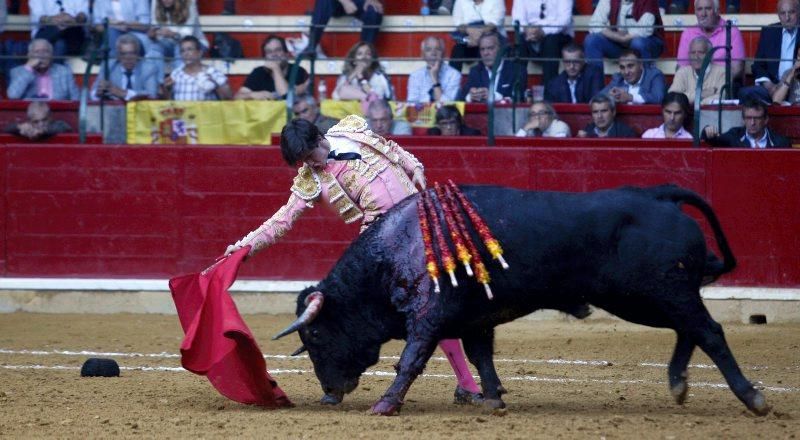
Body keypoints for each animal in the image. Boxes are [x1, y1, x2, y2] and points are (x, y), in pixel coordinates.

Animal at [274, 185, 768, 416]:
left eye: (315, 336)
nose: (329, 393)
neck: (398, 245)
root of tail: (658, 195)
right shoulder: (475, 319)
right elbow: (481, 356)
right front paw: (493, 399)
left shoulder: (429, 317)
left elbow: (411, 360)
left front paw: (385, 404)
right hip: (652, 298)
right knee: (691, 329)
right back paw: (678, 384)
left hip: (654, 294)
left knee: (709, 330)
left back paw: (752, 398)